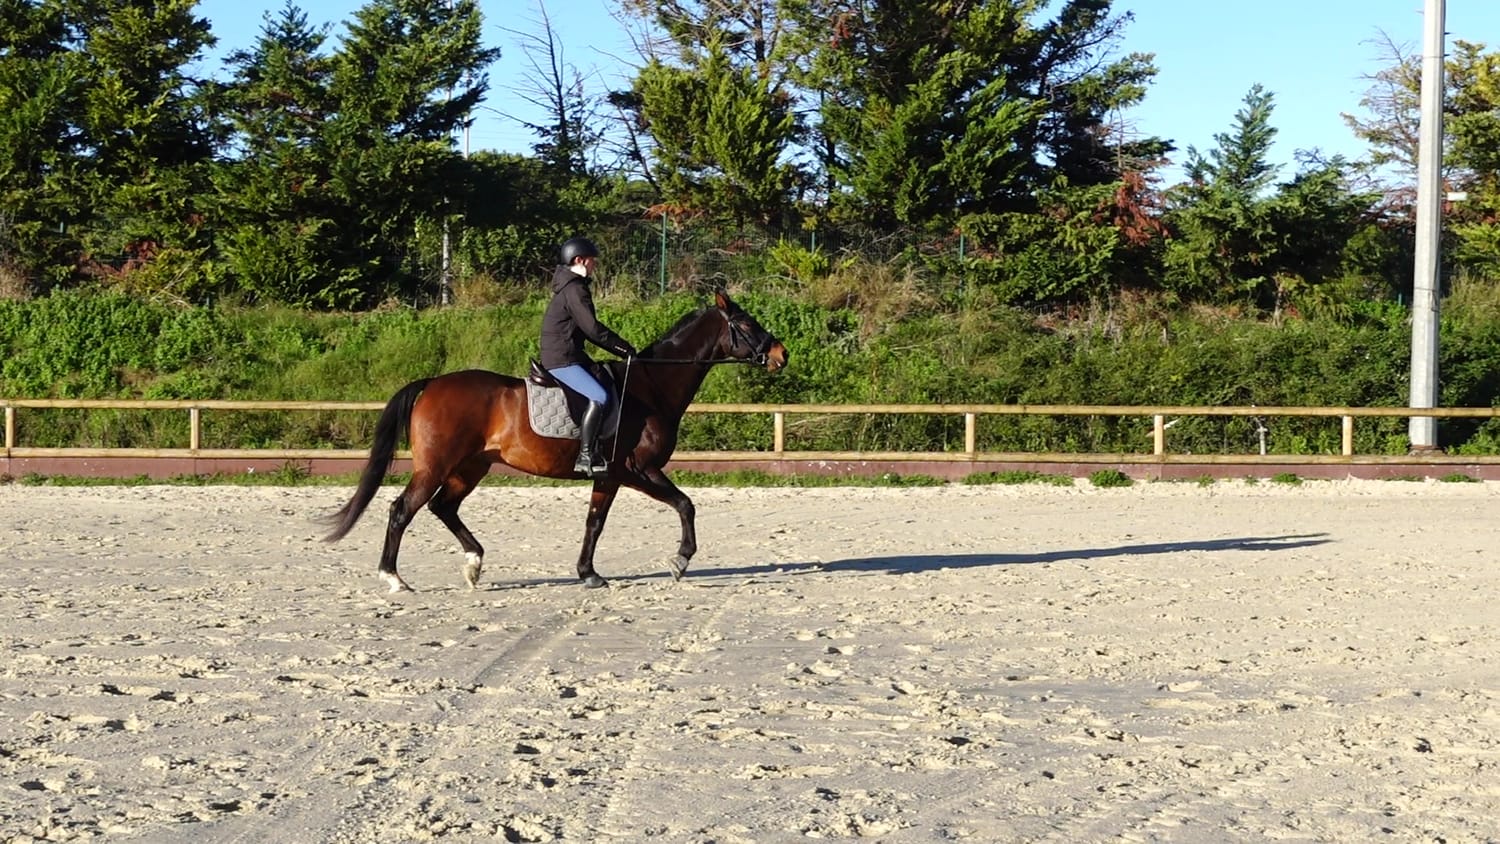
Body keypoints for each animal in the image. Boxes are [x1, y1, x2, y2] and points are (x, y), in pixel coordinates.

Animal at [321, 290, 789, 593]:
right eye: (746, 324)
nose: (781, 355)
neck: (651, 386)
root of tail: (433, 382)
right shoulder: (638, 470)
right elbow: (685, 504)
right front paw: (679, 560)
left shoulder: (610, 476)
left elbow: (594, 522)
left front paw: (588, 573)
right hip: (436, 465)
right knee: (403, 509)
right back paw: (394, 578)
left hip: (472, 466)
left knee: (443, 507)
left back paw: (474, 564)